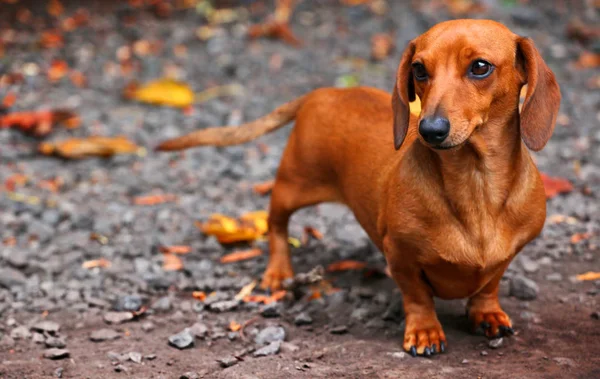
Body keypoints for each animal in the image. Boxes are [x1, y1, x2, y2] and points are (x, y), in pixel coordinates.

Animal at [157, 20, 560, 360]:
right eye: (419, 69)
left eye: (480, 67)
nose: (429, 130)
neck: (476, 185)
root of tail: (322, 93)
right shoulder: (399, 254)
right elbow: (417, 297)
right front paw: (425, 331)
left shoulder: (508, 255)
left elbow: (489, 284)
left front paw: (486, 313)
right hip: (293, 185)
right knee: (276, 224)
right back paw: (278, 272)